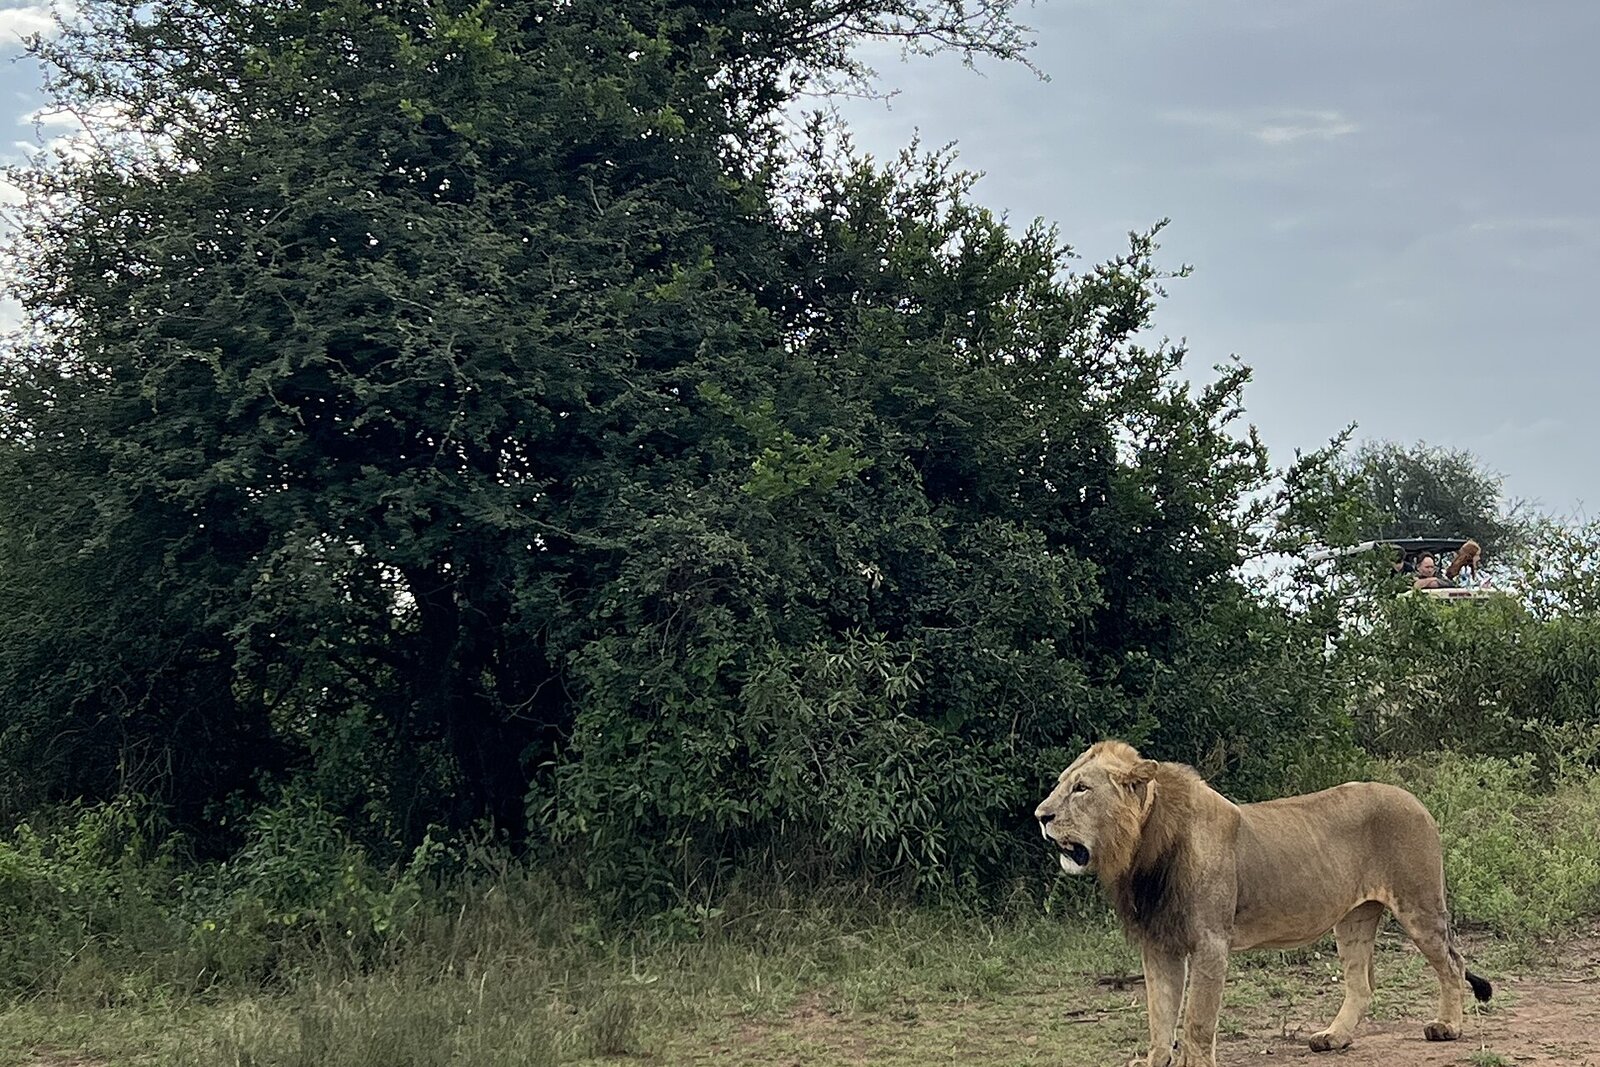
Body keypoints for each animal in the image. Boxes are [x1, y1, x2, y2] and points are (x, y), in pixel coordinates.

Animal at [1034, 741, 1492, 1067]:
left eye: (1081, 788)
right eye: (1061, 783)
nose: (1040, 816)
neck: (1142, 849)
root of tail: (1414, 799)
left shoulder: (1210, 943)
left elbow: (1197, 1021)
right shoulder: (1159, 943)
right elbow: (1159, 1017)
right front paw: (1156, 1060)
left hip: (1419, 905)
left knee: (1453, 964)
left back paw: (1448, 1027)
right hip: (1353, 919)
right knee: (1361, 985)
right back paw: (1334, 1037)